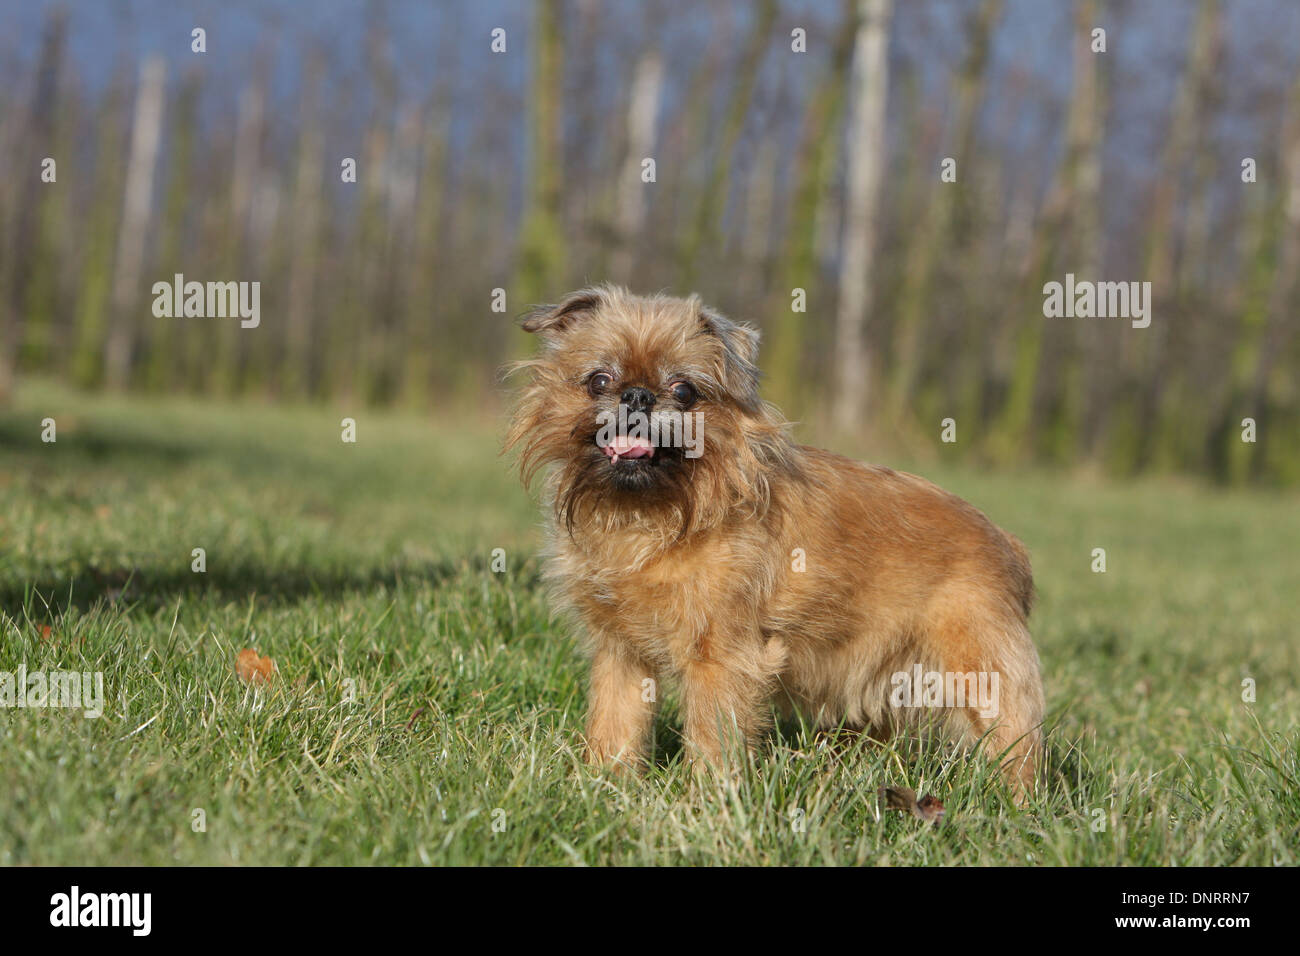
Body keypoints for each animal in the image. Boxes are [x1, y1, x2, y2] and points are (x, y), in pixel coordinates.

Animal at [506, 283, 1045, 801]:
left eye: (684, 391)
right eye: (599, 381)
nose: (636, 396)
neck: (649, 513)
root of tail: (1007, 542)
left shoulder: (721, 659)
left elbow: (713, 736)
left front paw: (710, 802)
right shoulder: (622, 653)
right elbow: (616, 721)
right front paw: (604, 783)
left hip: (982, 675)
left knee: (1015, 746)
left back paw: (1017, 808)